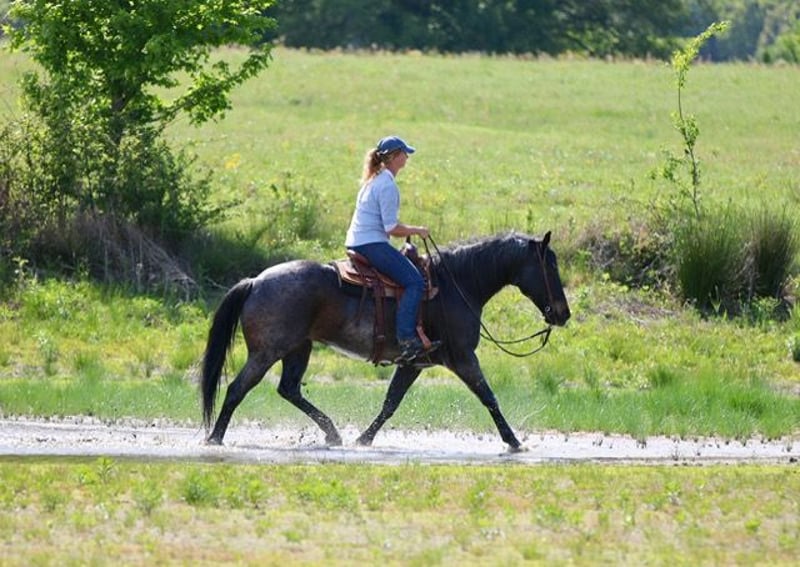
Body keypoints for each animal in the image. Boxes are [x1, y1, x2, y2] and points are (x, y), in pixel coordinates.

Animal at [201, 231, 571, 452]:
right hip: (266, 352)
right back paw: (215, 439)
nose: (563, 314)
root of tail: (255, 281)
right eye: (550, 266)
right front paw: (514, 441)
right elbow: (488, 397)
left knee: (288, 389)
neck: (458, 284)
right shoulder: (463, 358)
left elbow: (391, 402)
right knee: (237, 389)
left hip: (298, 348)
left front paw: (364, 439)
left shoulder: (414, 363)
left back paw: (333, 434)